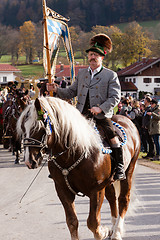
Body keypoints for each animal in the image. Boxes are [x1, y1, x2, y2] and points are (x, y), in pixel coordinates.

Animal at [16, 97, 141, 240]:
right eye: (22, 128)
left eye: (39, 128)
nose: (29, 161)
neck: (74, 153)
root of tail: (126, 120)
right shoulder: (62, 190)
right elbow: (72, 221)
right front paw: (105, 231)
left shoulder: (96, 190)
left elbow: (93, 223)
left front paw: (103, 231)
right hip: (109, 181)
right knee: (112, 198)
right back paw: (114, 228)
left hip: (129, 171)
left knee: (123, 200)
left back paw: (117, 232)